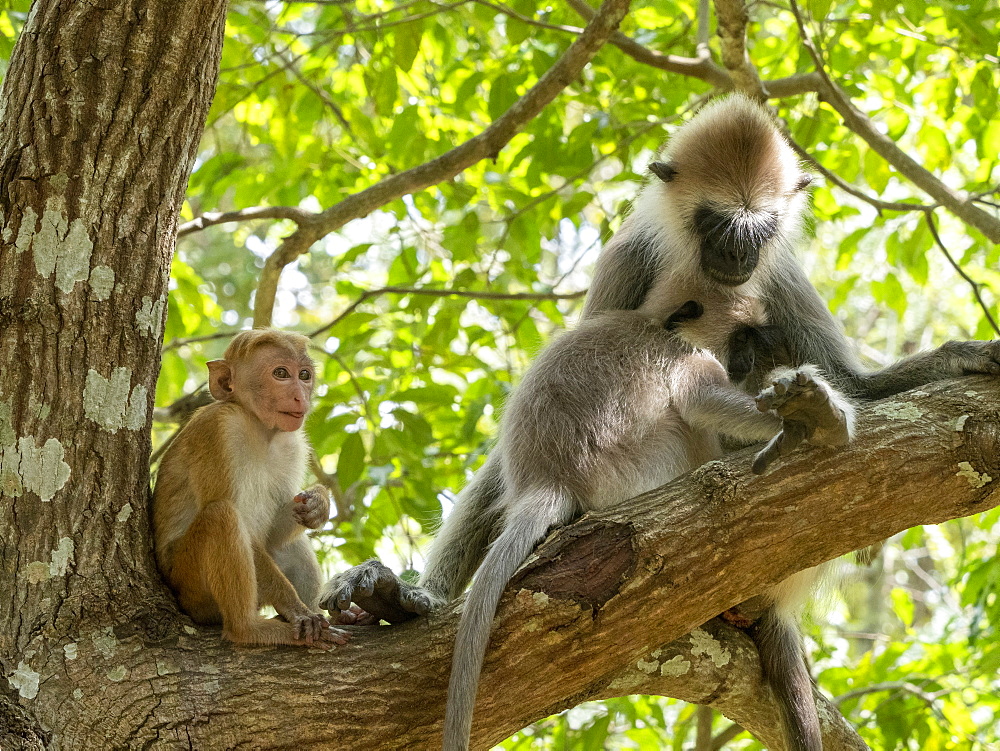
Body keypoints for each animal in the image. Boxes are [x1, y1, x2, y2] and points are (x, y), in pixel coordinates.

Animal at [152, 330, 348, 652]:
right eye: (280, 374)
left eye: (304, 375)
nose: (300, 395)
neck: (259, 428)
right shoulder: (219, 429)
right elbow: (247, 533)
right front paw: (297, 610)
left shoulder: (293, 445)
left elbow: (273, 535)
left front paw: (319, 504)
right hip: (191, 589)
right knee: (221, 516)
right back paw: (248, 629)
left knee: (286, 543)